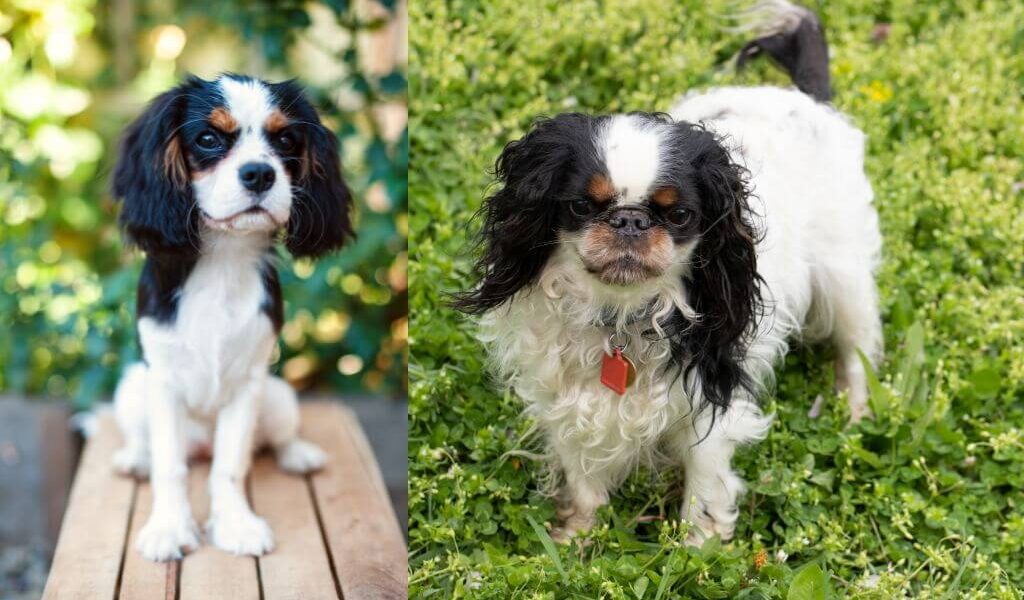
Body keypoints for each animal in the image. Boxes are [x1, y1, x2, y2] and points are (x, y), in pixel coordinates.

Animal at [110, 72, 352, 556]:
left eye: (285, 140)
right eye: (208, 139)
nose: (260, 173)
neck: (223, 258)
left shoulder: (249, 384)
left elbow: (231, 465)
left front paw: (236, 525)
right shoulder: (162, 382)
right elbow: (169, 465)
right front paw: (169, 528)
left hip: (279, 396)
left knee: (276, 438)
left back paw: (299, 454)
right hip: (131, 390)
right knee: (148, 442)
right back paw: (135, 459)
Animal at [454, 0, 880, 540]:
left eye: (678, 215)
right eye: (580, 206)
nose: (630, 220)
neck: (620, 316)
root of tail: (806, 99)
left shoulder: (711, 395)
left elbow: (705, 480)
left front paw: (697, 545)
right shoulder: (566, 401)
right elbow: (582, 476)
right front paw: (576, 537)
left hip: (845, 273)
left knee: (857, 344)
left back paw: (856, 410)